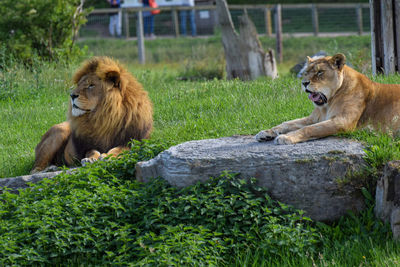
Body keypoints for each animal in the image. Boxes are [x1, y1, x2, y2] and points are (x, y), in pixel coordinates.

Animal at [256, 53, 400, 146]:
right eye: (305, 72)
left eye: (320, 72)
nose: (304, 83)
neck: (327, 104)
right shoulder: (314, 118)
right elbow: (286, 123)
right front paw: (266, 133)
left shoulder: (342, 121)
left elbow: (309, 129)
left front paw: (286, 137)